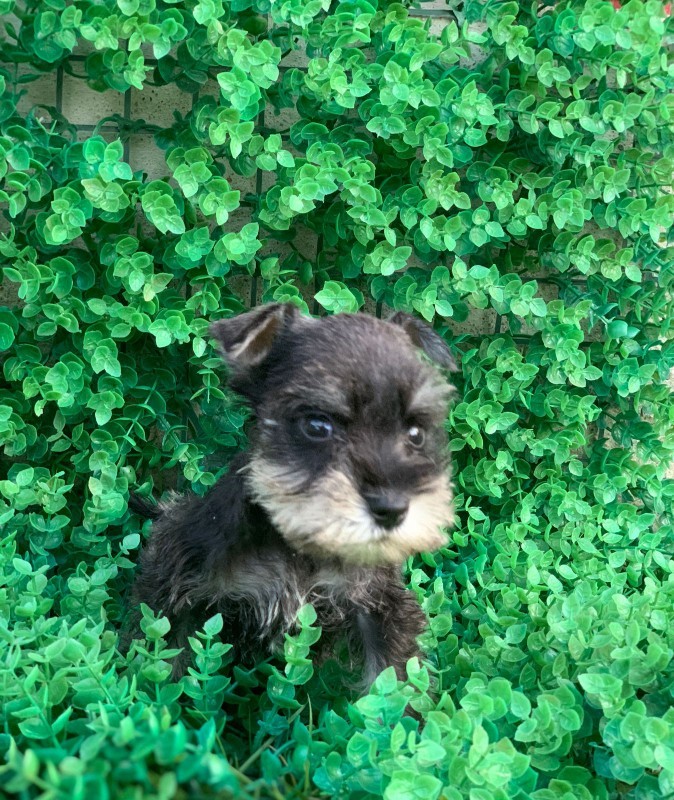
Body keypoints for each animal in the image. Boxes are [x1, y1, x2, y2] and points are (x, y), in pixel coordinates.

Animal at [127, 304, 456, 684]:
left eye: (416, 433)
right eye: (317, 425)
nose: (392, 509)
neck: (301, 550)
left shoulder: (379, 607)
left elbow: (393, 680)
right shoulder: (177, 589)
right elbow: (164, 663)